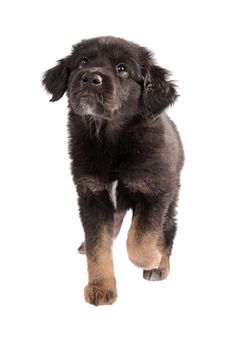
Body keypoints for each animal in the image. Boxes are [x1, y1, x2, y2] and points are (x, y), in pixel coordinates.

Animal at [42, 36, 184, 306]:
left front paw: (151, 259)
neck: (110, 138)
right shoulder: (92, 195)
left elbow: (141, 236)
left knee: (167, 229)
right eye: (83, 62)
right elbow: (99, 246)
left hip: (172, 196)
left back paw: (161, 264)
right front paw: (100, 287)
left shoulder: (156, 192)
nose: (90, 78)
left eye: (122, 69)